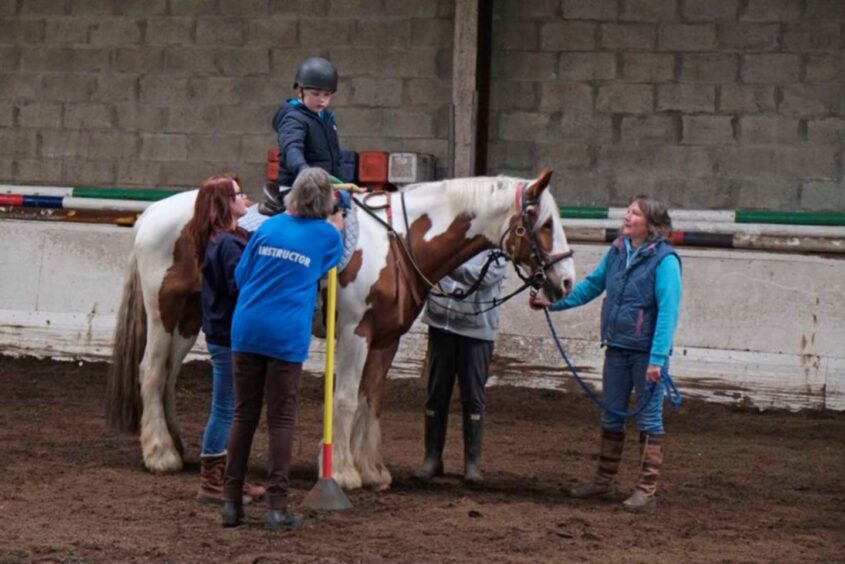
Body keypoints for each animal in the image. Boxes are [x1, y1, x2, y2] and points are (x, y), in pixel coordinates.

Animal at [104, 171, 572, 490]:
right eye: (545, 223)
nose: (565, 282)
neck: (398, 241)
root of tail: (151, 214)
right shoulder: (354, 335)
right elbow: (346, 399)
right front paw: (344, 472)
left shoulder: (386, 340)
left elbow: (372, 400)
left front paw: (372, 470)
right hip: (164, 312)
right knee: (151, 372)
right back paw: (160, 455)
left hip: (189, 319)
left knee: (168, 376)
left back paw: (178, 446)